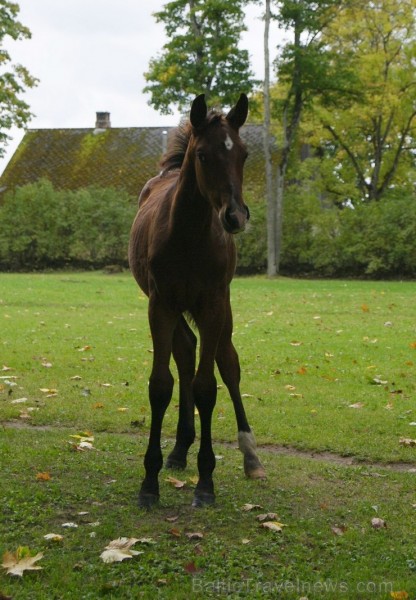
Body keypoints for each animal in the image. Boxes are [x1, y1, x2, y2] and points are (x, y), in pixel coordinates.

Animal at [130, 94, 264, 506]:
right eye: (203, 155)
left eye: (244, 154)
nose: (235, 217)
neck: (189, 234)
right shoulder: (160, 305)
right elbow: (161, 385)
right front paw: (149, 482)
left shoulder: (213, 305)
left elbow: (208, 386)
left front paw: (206, 482)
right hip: (175, 308)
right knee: (186, 352)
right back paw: (179, 449)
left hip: (223, 310)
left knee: (227, 362)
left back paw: (251, 456)